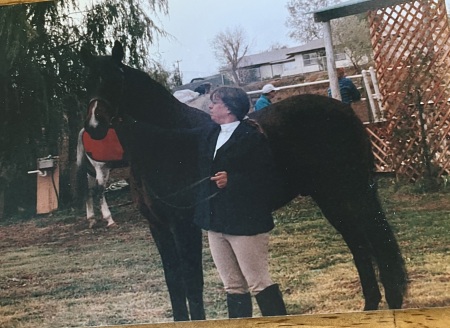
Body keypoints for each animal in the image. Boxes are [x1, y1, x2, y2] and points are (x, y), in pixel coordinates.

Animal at [80, 41, 408, 320]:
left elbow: (192, 283)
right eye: (86, 82)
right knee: (360, 245)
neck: (168, 144)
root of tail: (344, 112)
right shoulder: (158, 227)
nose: (95, 127)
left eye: (115, 79)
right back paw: (369, 307)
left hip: (352, 192)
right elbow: (174, 284)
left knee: (376, 241)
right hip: (330, 197)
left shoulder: (184, 225)